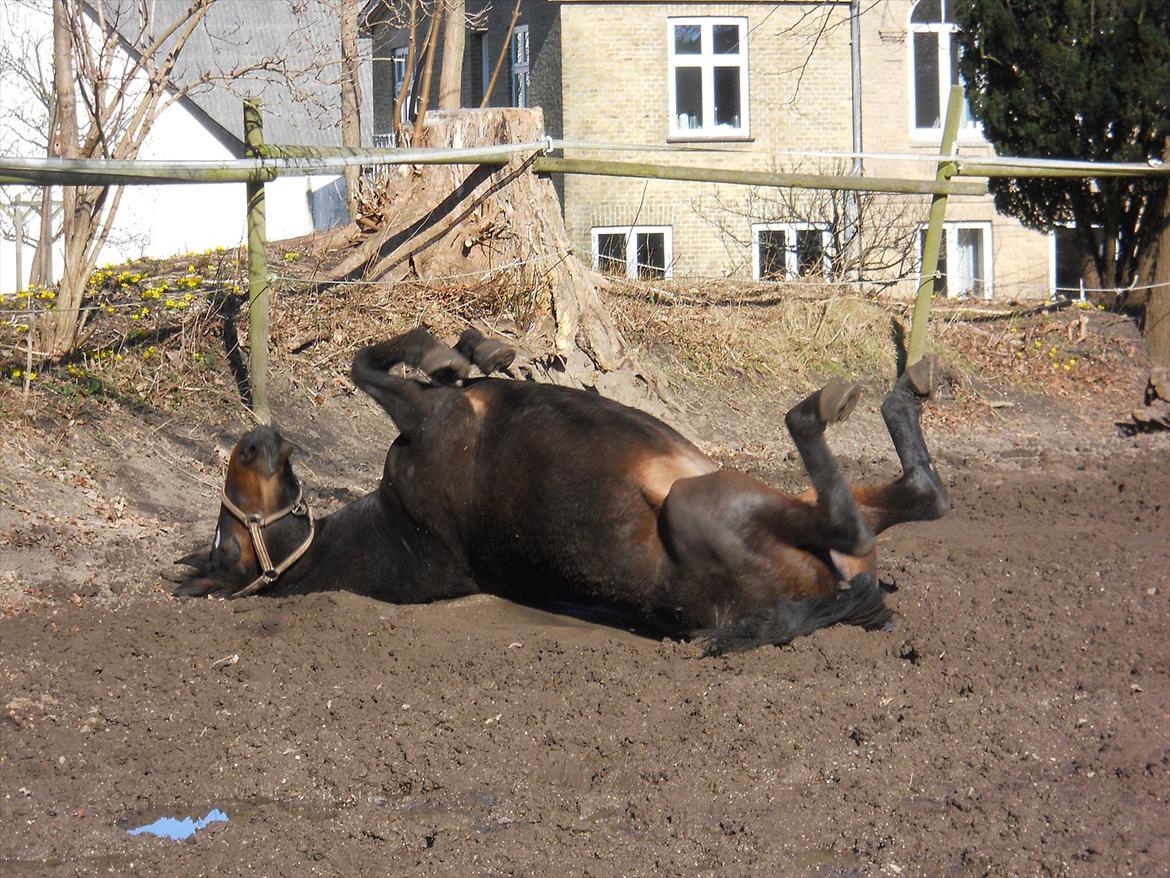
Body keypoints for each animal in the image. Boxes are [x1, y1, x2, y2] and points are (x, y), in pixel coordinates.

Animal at [175, 327, 950, 655]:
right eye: (226, 548)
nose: (253, 441)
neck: (394, 531)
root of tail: (840, 599)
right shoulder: (427, 417)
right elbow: (367, 365)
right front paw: (446, 351)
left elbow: (396, 357)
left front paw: (473, 347)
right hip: (704, 500)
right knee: (871, 516)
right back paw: (830, 405)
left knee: (921, 496)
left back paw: (906, 390)